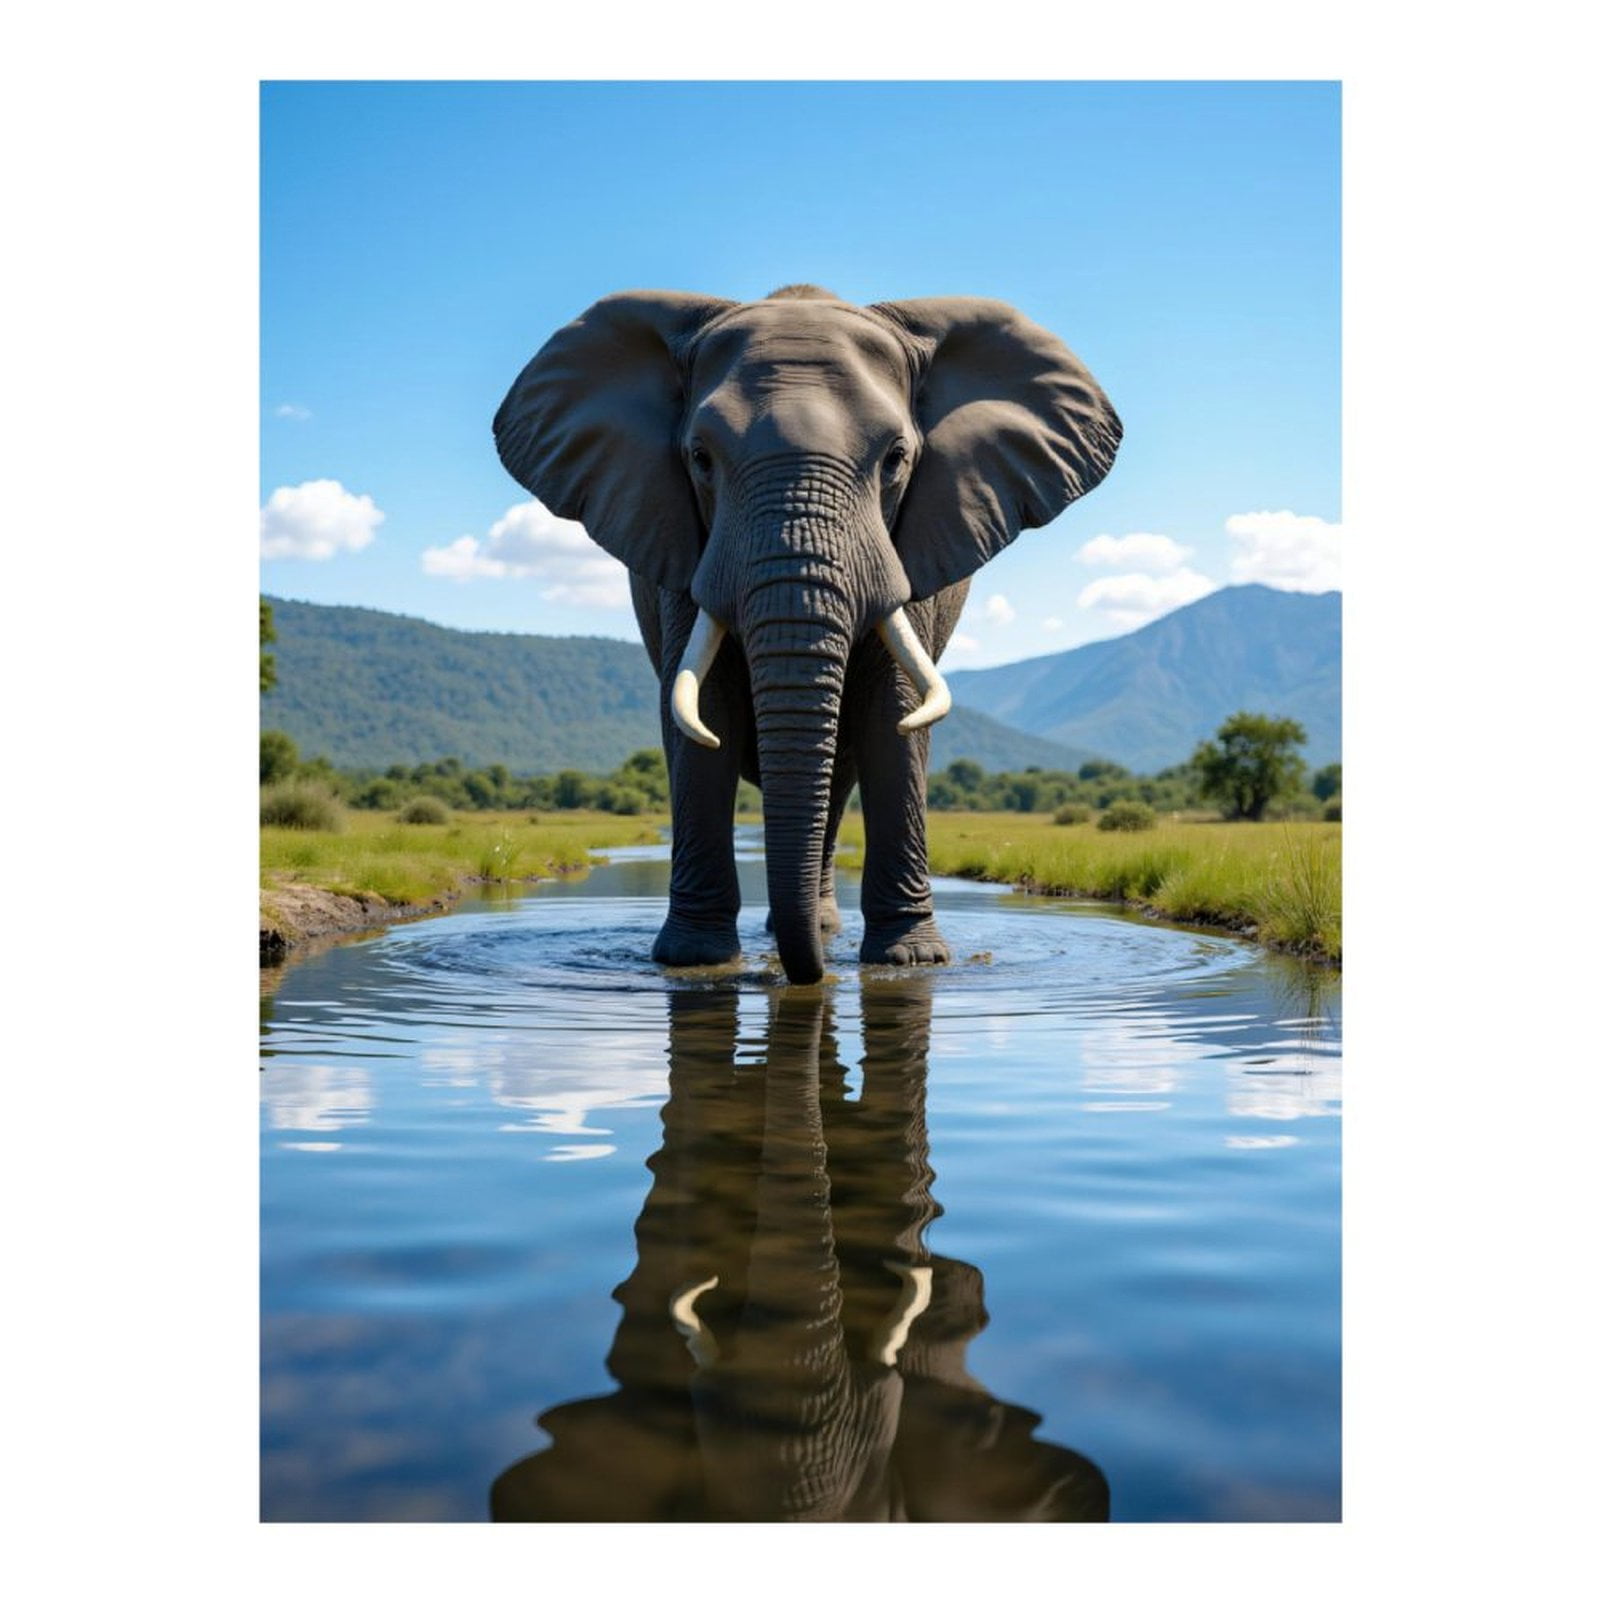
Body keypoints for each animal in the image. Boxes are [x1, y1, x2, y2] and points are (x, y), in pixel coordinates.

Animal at [494, 286, 1121, 983]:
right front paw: (694, 961)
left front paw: (912, 961)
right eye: (700, 459)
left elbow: (896, 713)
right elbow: (702, 712)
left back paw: (822, 932)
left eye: (896, 459)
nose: (804, 977)